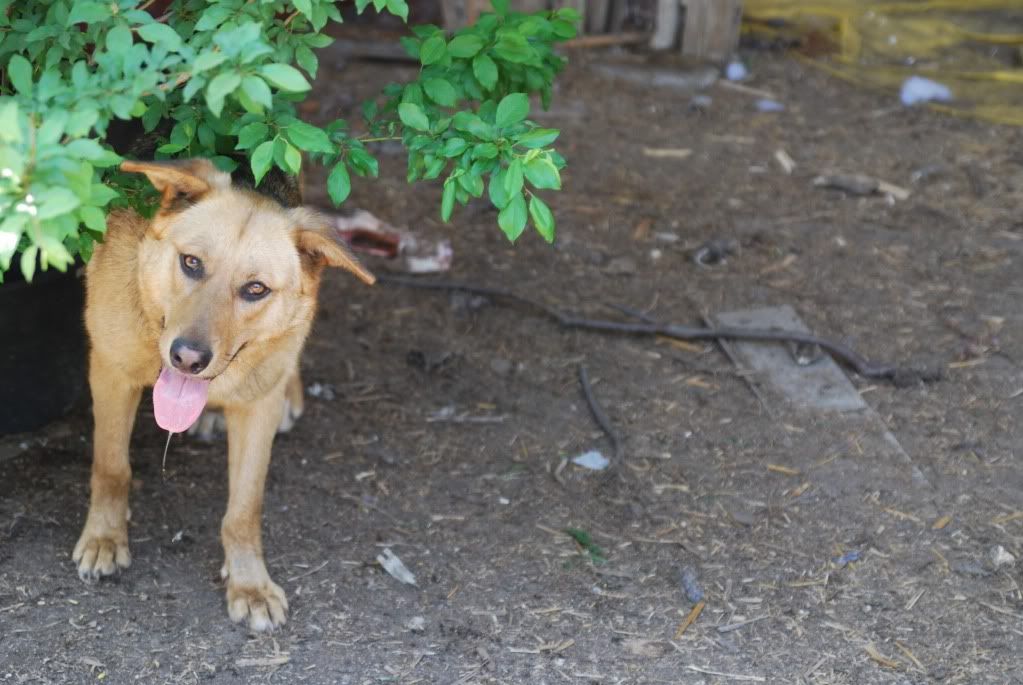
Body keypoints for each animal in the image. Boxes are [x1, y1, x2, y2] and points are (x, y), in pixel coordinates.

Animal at [74, 159, 376, 633]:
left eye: (255, 289)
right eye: (191, 263)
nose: (187, 358)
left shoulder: (257, 410)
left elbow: (244, 511)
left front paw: (249, 583)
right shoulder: (111, 371)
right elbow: (111, 468)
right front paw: (105, 536)